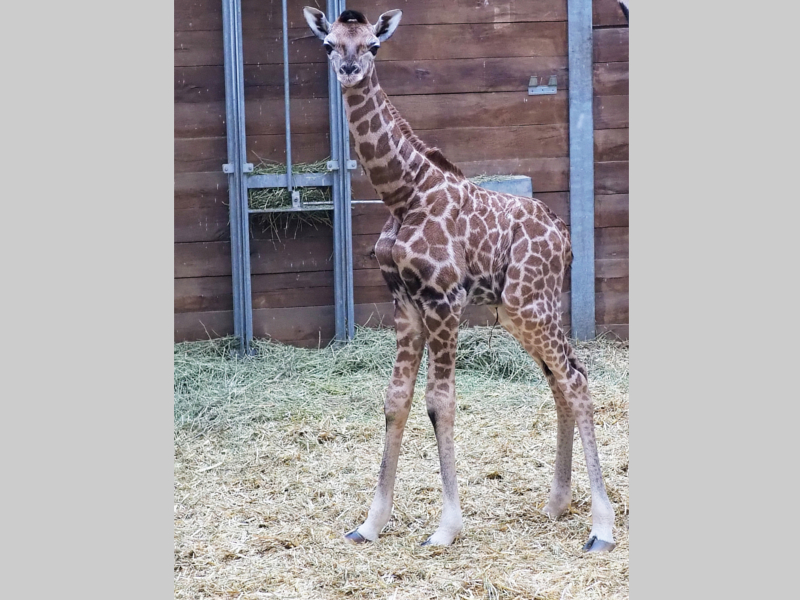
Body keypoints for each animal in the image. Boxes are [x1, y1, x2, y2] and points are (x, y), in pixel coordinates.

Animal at [304, 5, 616, 552]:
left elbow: (440, 402)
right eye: (329, 44)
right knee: (561, 379)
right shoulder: (406, 303)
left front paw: (446, 527)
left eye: (373, 45)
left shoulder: (444, 298)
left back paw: (602, 527)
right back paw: (557, 503)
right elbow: (396, 401)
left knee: (575, 378)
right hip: (517, 312)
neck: (401, 194)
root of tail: (565, 238)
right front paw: (370, 524)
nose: (349, 71)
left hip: (529, 306)